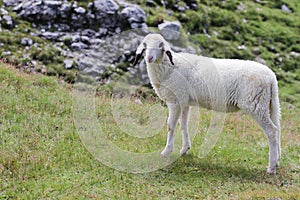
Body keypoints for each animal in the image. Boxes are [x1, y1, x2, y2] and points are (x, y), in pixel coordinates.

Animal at [134, 33, 282, 174]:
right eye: (145, 46)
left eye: (161, 46)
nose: (149, 58)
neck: (169, 66)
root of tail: (271, 78)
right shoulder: (184, 101)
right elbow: (184, 124)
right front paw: (185, 149)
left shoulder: (175, 100)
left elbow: (171, 125)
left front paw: (166, 152)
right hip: (268, 104)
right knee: (277, 129)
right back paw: (277, 160)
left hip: (255, 104)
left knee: (272, 131)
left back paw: (271, 168)